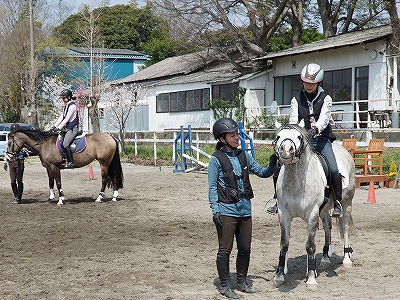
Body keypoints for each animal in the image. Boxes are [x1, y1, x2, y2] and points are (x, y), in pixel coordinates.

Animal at [272, 123, 356, 286]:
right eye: (278, 137)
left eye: (299, 137)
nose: (286, 151)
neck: (296, 180)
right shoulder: (283, 214)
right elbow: (284, 244)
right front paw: (279, 275)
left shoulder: (312, 214)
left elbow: (310, 246)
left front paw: (311, 277)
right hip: (323, 210)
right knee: (327, 227)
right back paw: (325, 257)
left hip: (347, 203)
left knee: (345, 227)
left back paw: (346, 259)